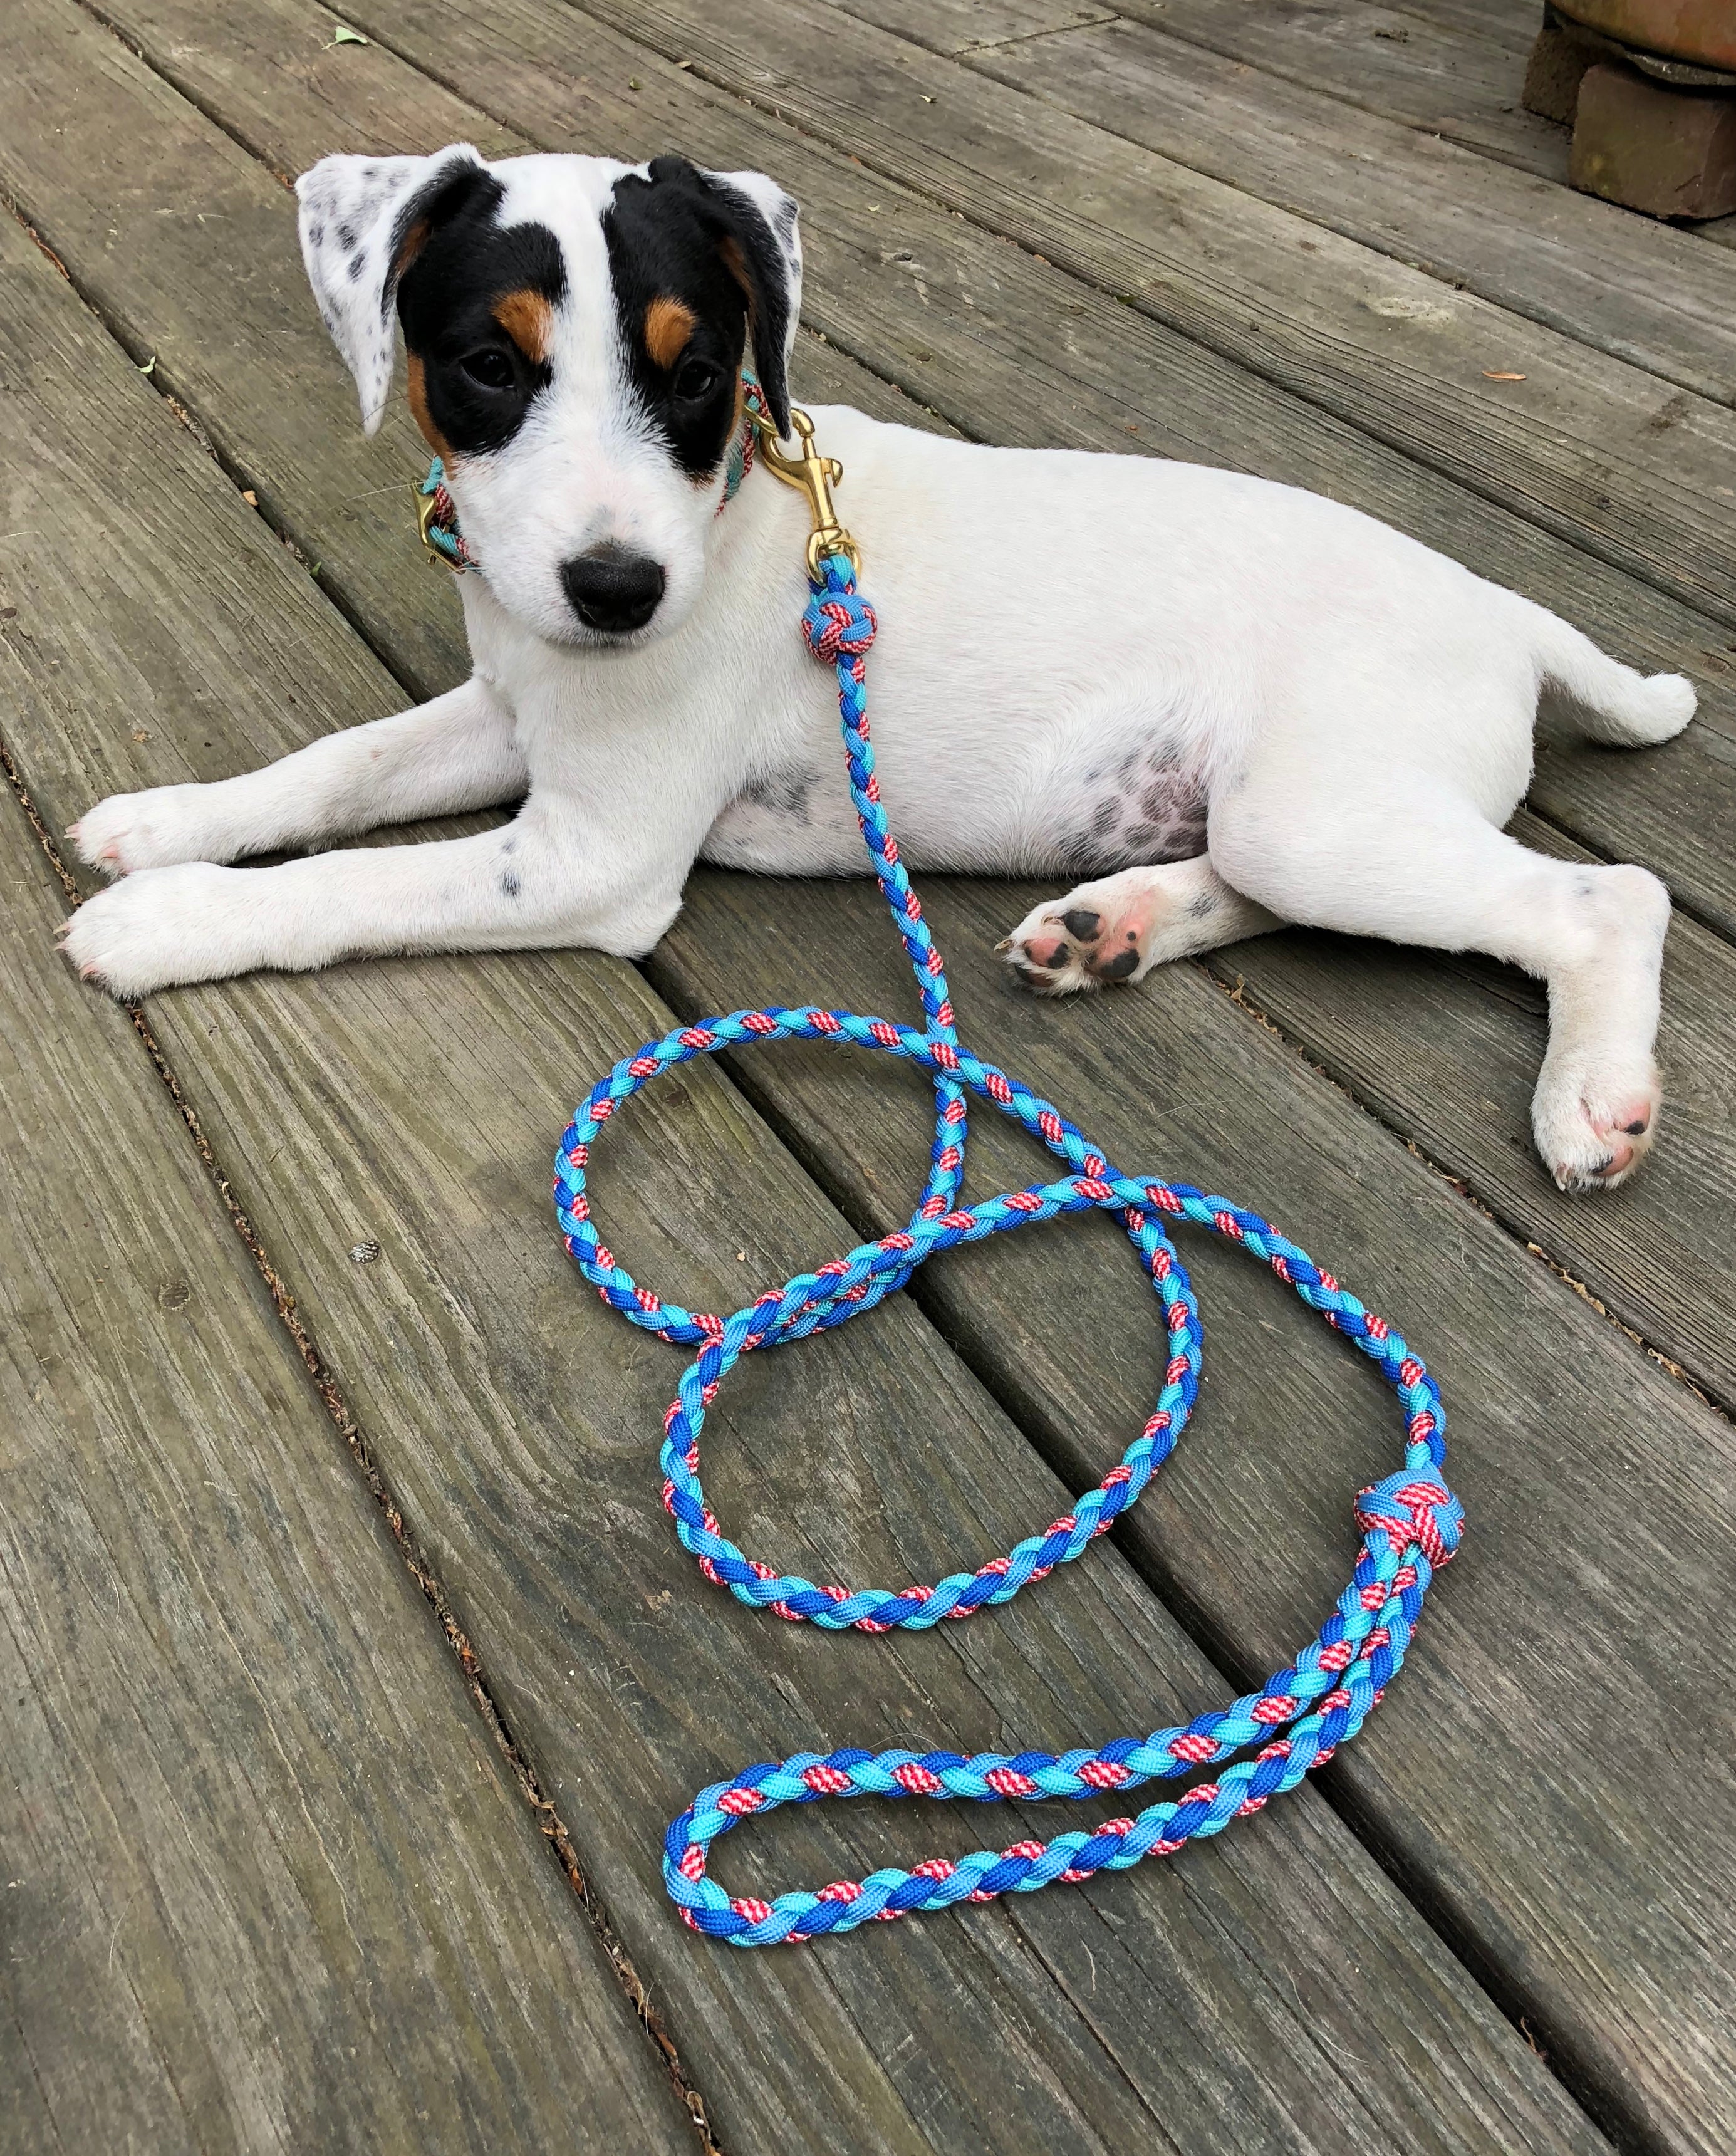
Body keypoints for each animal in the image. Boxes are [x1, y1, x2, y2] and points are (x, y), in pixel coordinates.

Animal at [64, 147, 1690, 1199]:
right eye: (486, 365)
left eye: (694, 372)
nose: (618, 592)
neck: (729, 508)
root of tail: (1502, 609)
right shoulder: (512, 712)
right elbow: (334, 767)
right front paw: (166, 820)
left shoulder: (592, 853)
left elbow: (350, 880)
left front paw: (164, 921)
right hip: (1279, 817)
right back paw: (1109, 925)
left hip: (1324, 813)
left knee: (1604, 897)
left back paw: (1589, 1094)